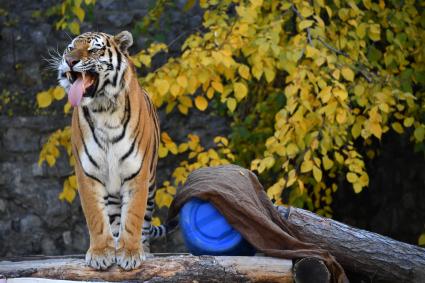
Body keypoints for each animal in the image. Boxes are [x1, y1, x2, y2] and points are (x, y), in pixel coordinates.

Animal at [56, 31, 166, 270]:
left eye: (94, 49)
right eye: (70, 48)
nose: (69, 61)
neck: (103, 109)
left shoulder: (137, 173)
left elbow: (133, 217)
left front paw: (131, 254)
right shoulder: (88, 173)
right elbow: (96, 218)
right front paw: (100, 254)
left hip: (151, 184)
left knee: (144, 222)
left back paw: (143, 250)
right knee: (114, 219)